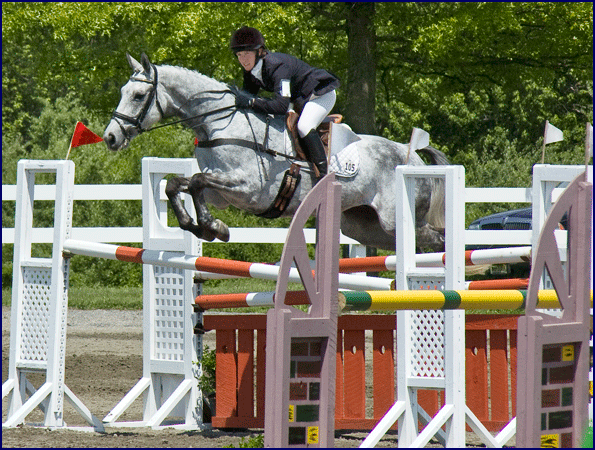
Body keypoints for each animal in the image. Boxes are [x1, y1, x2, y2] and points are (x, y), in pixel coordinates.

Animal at [105, 54, 450, 251]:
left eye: (138, 95)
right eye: (122, 92)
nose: (110, 137)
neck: (220, 122)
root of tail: (412, 155)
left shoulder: (248, 188)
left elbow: (198, 181)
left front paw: (210, 226)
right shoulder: (222, 192)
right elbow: (179, 184)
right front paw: (200, 225)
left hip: (396, 220)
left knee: (438, 240)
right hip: (365, 227)